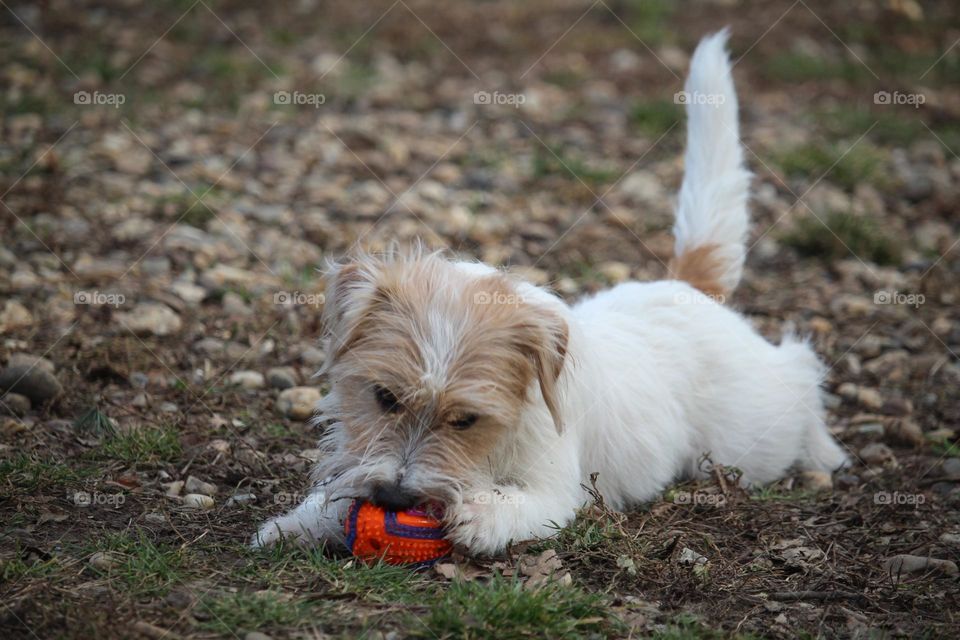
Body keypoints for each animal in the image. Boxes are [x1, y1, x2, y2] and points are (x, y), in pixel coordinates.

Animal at [253, 32, 848, 556]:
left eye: (466, 421)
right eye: (383, 398)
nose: (395, 498)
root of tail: (686, 286)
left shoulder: (556, 491)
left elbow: (524, 505)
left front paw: (484, 513)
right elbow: (332, 494)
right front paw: (293, 525)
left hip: (751, 436)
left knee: (801, 375)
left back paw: (825, 452)